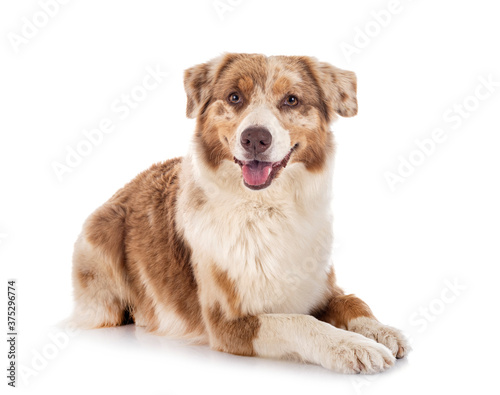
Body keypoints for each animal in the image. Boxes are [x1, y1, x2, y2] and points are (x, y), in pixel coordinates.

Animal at [73, 53, 410, 374]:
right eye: (234, 97)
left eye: (292, 100)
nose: (256, 138)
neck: (267, 209)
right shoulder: (229, 322)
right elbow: (299, 322)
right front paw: (353, 346)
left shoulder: (322, 287)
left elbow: (354, 302)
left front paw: (381, 331)